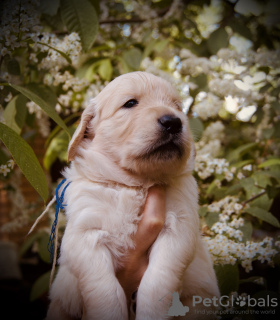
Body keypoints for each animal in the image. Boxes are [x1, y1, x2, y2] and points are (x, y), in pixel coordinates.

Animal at [47, 72, 220, 320]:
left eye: (177, 106)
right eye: (130, 103)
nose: (173, 121)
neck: (136, 184)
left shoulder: (179, 227)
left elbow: (157, 282)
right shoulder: (84, 234)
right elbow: (105, 290)